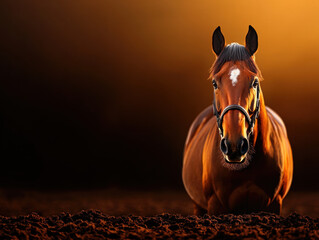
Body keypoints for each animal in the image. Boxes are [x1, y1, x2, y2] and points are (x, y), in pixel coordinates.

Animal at [184, 25, 294, 215]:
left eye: (254, 82)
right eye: (215, 83)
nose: (234, 145)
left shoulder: (274, 205)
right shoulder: (215, 205)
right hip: (198, 206)